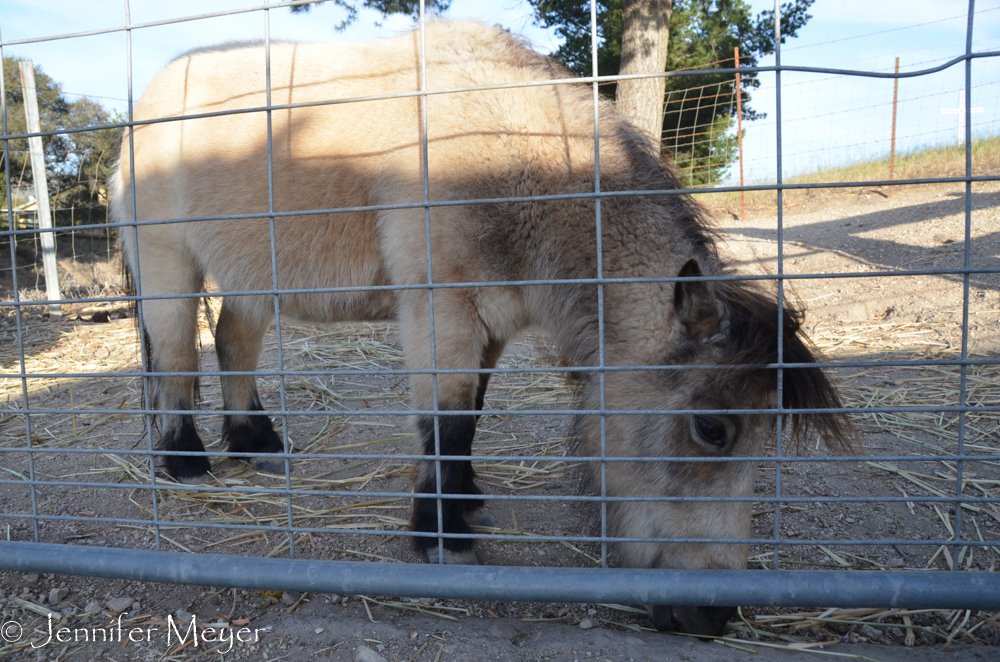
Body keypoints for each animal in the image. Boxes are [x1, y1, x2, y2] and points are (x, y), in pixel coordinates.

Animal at [111, 21, 850, 637]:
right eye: (712, 429)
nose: (712, 615)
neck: (516, 152)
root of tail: (146, 104)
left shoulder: (493, 325)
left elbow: (471, 417)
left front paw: (465, 502)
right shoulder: (442, 313)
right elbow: (446, 421)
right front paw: (442, 534)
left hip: (251, 277)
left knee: (235, 342)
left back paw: (254, 441)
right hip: (169, 267)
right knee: (176, 358)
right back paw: (184, 460)